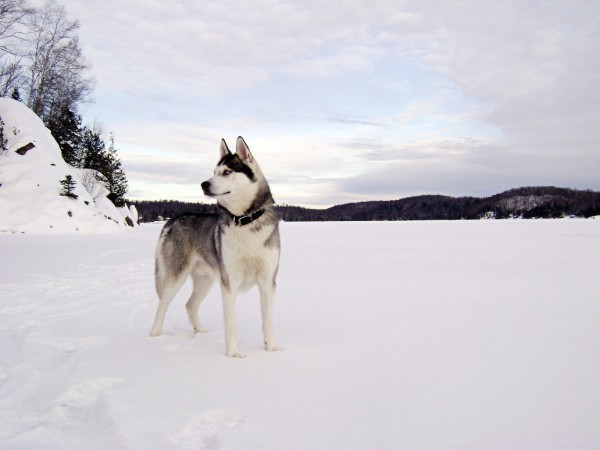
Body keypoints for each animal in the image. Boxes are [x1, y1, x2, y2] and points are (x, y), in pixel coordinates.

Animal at [150, 135, 282, 356]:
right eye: (213, 172)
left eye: (227, 172)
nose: (204, 184)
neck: (245, 220)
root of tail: (173, 218)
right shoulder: (229, 283)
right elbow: (231, 324)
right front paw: (234, 354)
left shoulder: (267, 281)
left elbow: (268, 321)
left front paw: (272, 349)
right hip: (175, 276)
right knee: (162, 305)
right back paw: (154, 338)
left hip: (205, 280)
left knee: (190, 305)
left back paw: (201, 332)